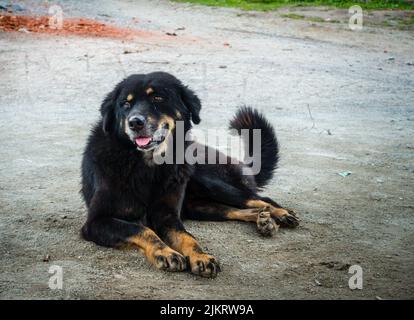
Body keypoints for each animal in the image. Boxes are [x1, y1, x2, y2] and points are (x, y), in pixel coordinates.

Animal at [81, 71, 300, 276]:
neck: (147, 165)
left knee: (257, 198)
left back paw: (281, 213)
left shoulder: (167, 215)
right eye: (125, 104)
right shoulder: (96, 221)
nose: (135, 122)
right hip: (199, 207)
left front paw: (199, 256)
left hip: (207, 182)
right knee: (235, 209)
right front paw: (166, 253)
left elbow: (187, 237)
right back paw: (263, 220)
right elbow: (143, 229)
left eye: (158, 98)